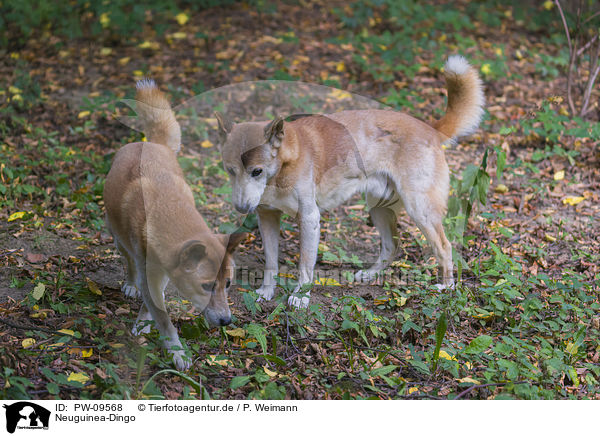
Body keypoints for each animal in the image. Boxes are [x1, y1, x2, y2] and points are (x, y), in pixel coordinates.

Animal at [104, 80, 245, 370]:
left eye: (228, 284)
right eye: (206, 286)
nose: (227, 321)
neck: (168, 211)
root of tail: (150, 143)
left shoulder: (163, 276)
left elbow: (152, 307)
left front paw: (144, 324)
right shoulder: (149, 274)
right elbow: (163, 317)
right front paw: (177, 351)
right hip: (118, 236)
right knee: (128, 261)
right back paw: (130, 284)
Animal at [216, 55, 482, 306]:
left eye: (257, 171)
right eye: (230, 170)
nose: (241, 207)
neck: (282, 169)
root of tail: (430, 128)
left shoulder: (309, 219)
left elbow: (305, 265)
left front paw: (300, 298)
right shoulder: (267, 217)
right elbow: (271, 262)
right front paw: (266, 292)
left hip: (420, 209)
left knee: (444, 247)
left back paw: (446, 287)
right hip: (378, 208)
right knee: (391, 246)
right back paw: (370, 275)